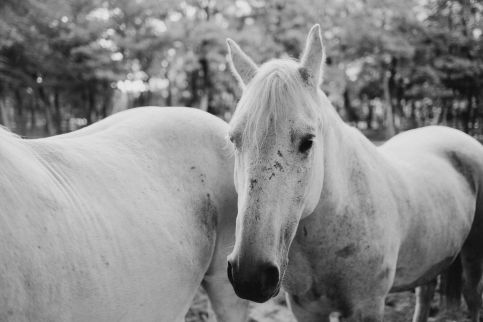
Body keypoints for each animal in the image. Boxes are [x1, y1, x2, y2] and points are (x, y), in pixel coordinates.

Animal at [225, 25, 483, 322]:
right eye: (233, 140)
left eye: (308, 142)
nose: (250, 276)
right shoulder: (305, 308)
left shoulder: (366, 306)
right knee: (425, 292)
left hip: (473, 253)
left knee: (472, 296)